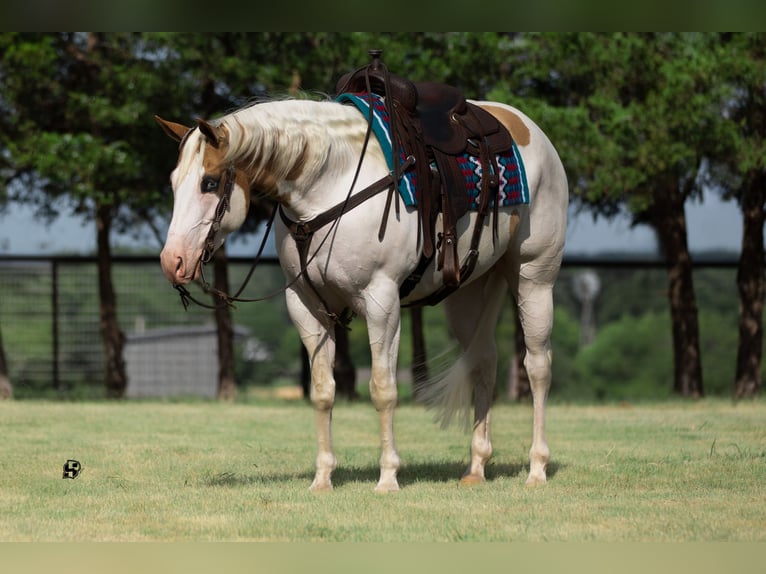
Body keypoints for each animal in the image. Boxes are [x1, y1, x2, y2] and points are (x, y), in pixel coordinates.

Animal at [156, 67, 568, 492]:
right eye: (173, 182)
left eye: (208, 183)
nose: (173, 261)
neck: (330, 186)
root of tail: (527, 128)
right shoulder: (305, 305)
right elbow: (323, 391)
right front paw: (323, 477)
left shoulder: (382, 301)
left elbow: (383, 389)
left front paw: (387, 476)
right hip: (467, 294)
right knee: (484, 362)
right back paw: (476, 467)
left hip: (535, 277)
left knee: (538, 366)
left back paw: (537, 468)